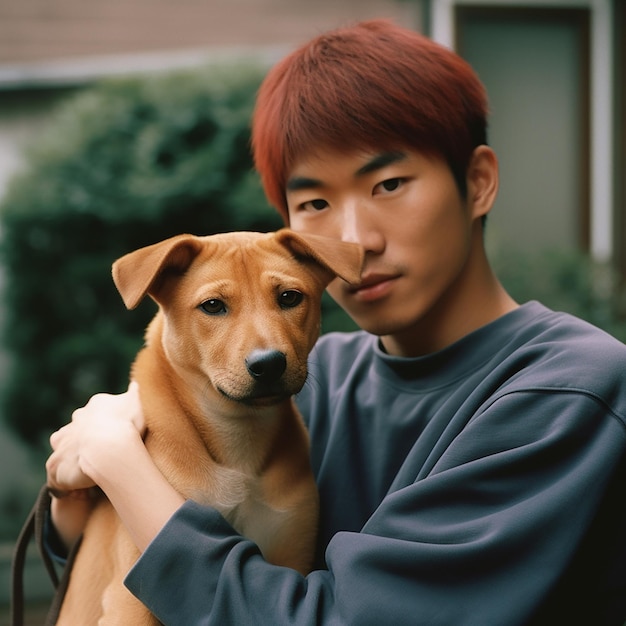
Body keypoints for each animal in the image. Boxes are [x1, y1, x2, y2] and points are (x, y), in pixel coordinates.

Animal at [56, 229, 364, 624]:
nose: (268, 364)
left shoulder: (291, 557)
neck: (238, 440)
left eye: (289, 297)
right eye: (213, 306)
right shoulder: (130, 601)